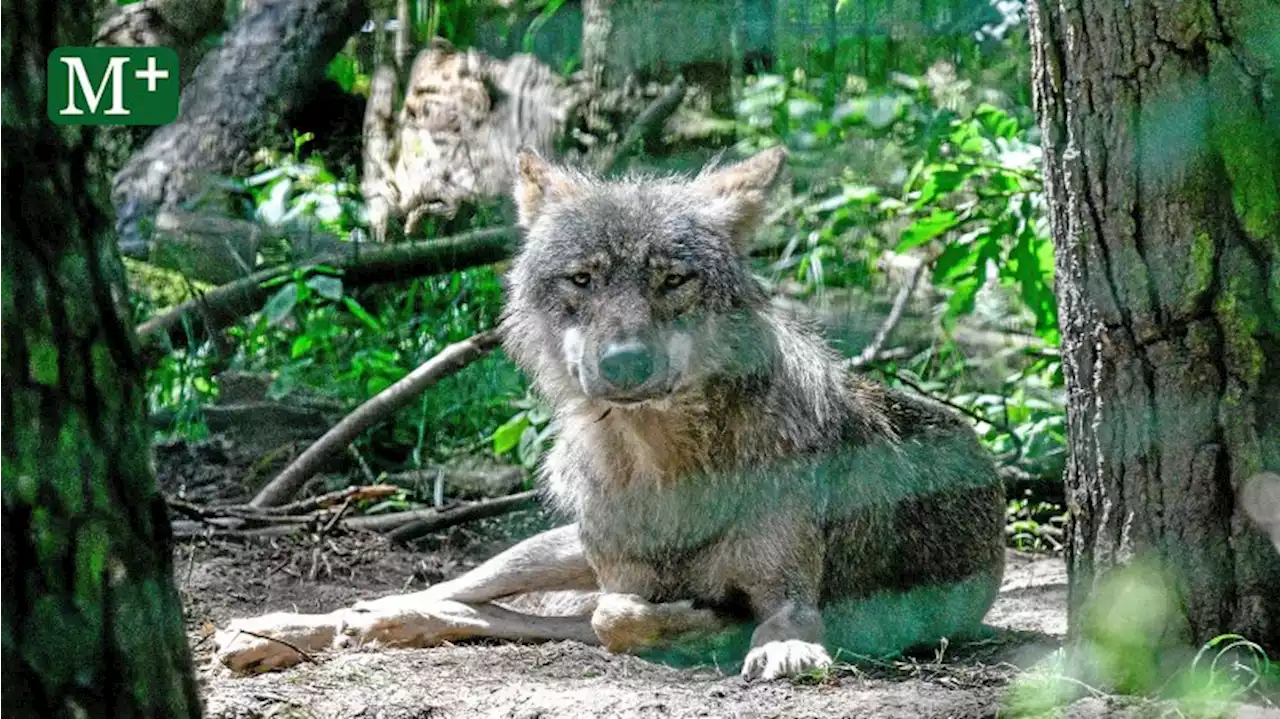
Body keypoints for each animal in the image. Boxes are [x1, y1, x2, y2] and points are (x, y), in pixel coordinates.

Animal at [215, 143, 1003, 675]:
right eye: (583, 279)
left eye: (673, 280)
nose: (625, 362)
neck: (660, 471)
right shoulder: (618, 578)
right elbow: (616, 615)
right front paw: (688, 618)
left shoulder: (790, 598)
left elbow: (713, 624)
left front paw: (755, 644)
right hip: (551, 549)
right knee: (446, 594)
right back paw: (279, 632)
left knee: (477, 613)